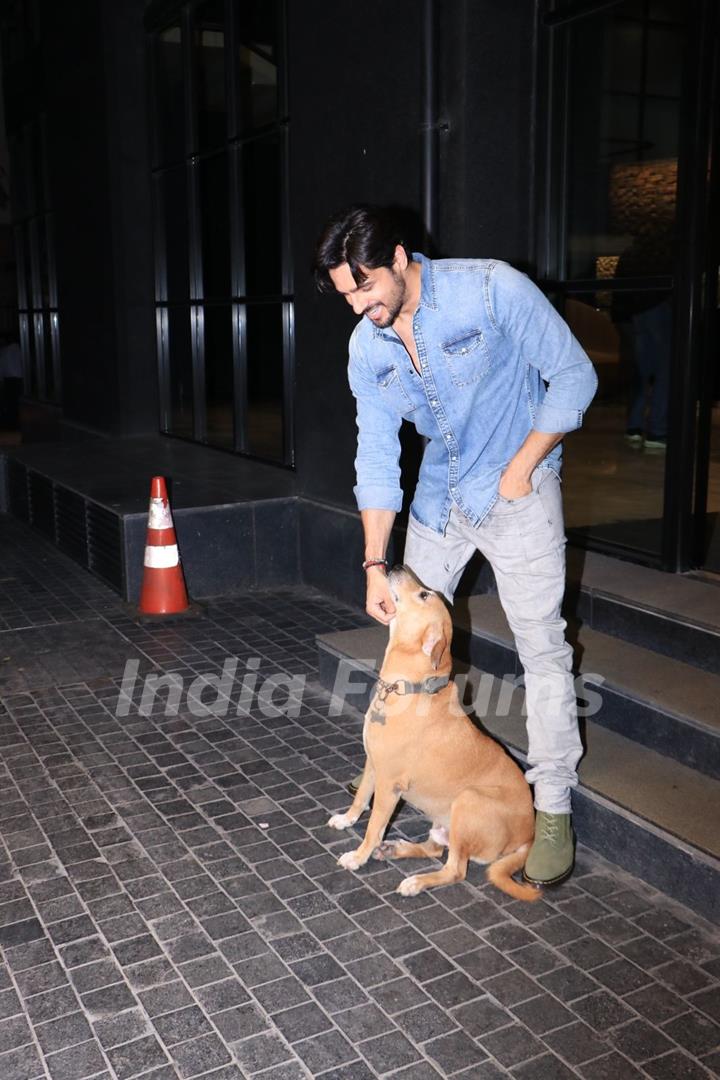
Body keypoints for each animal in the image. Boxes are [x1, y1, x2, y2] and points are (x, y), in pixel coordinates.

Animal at [328, 565, 539, 902]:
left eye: (424, 594)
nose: (396, 566)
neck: (407, 687)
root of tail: (527, 838)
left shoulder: (389, 784)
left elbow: (374, 827)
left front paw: (358, 856)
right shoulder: (373, 764)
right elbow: (361, 799)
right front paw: (347, 820)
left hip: (468, 800)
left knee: (456, 870)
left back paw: (415, 881)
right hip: (445, 822)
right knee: (436, 850)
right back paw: (397, 850)